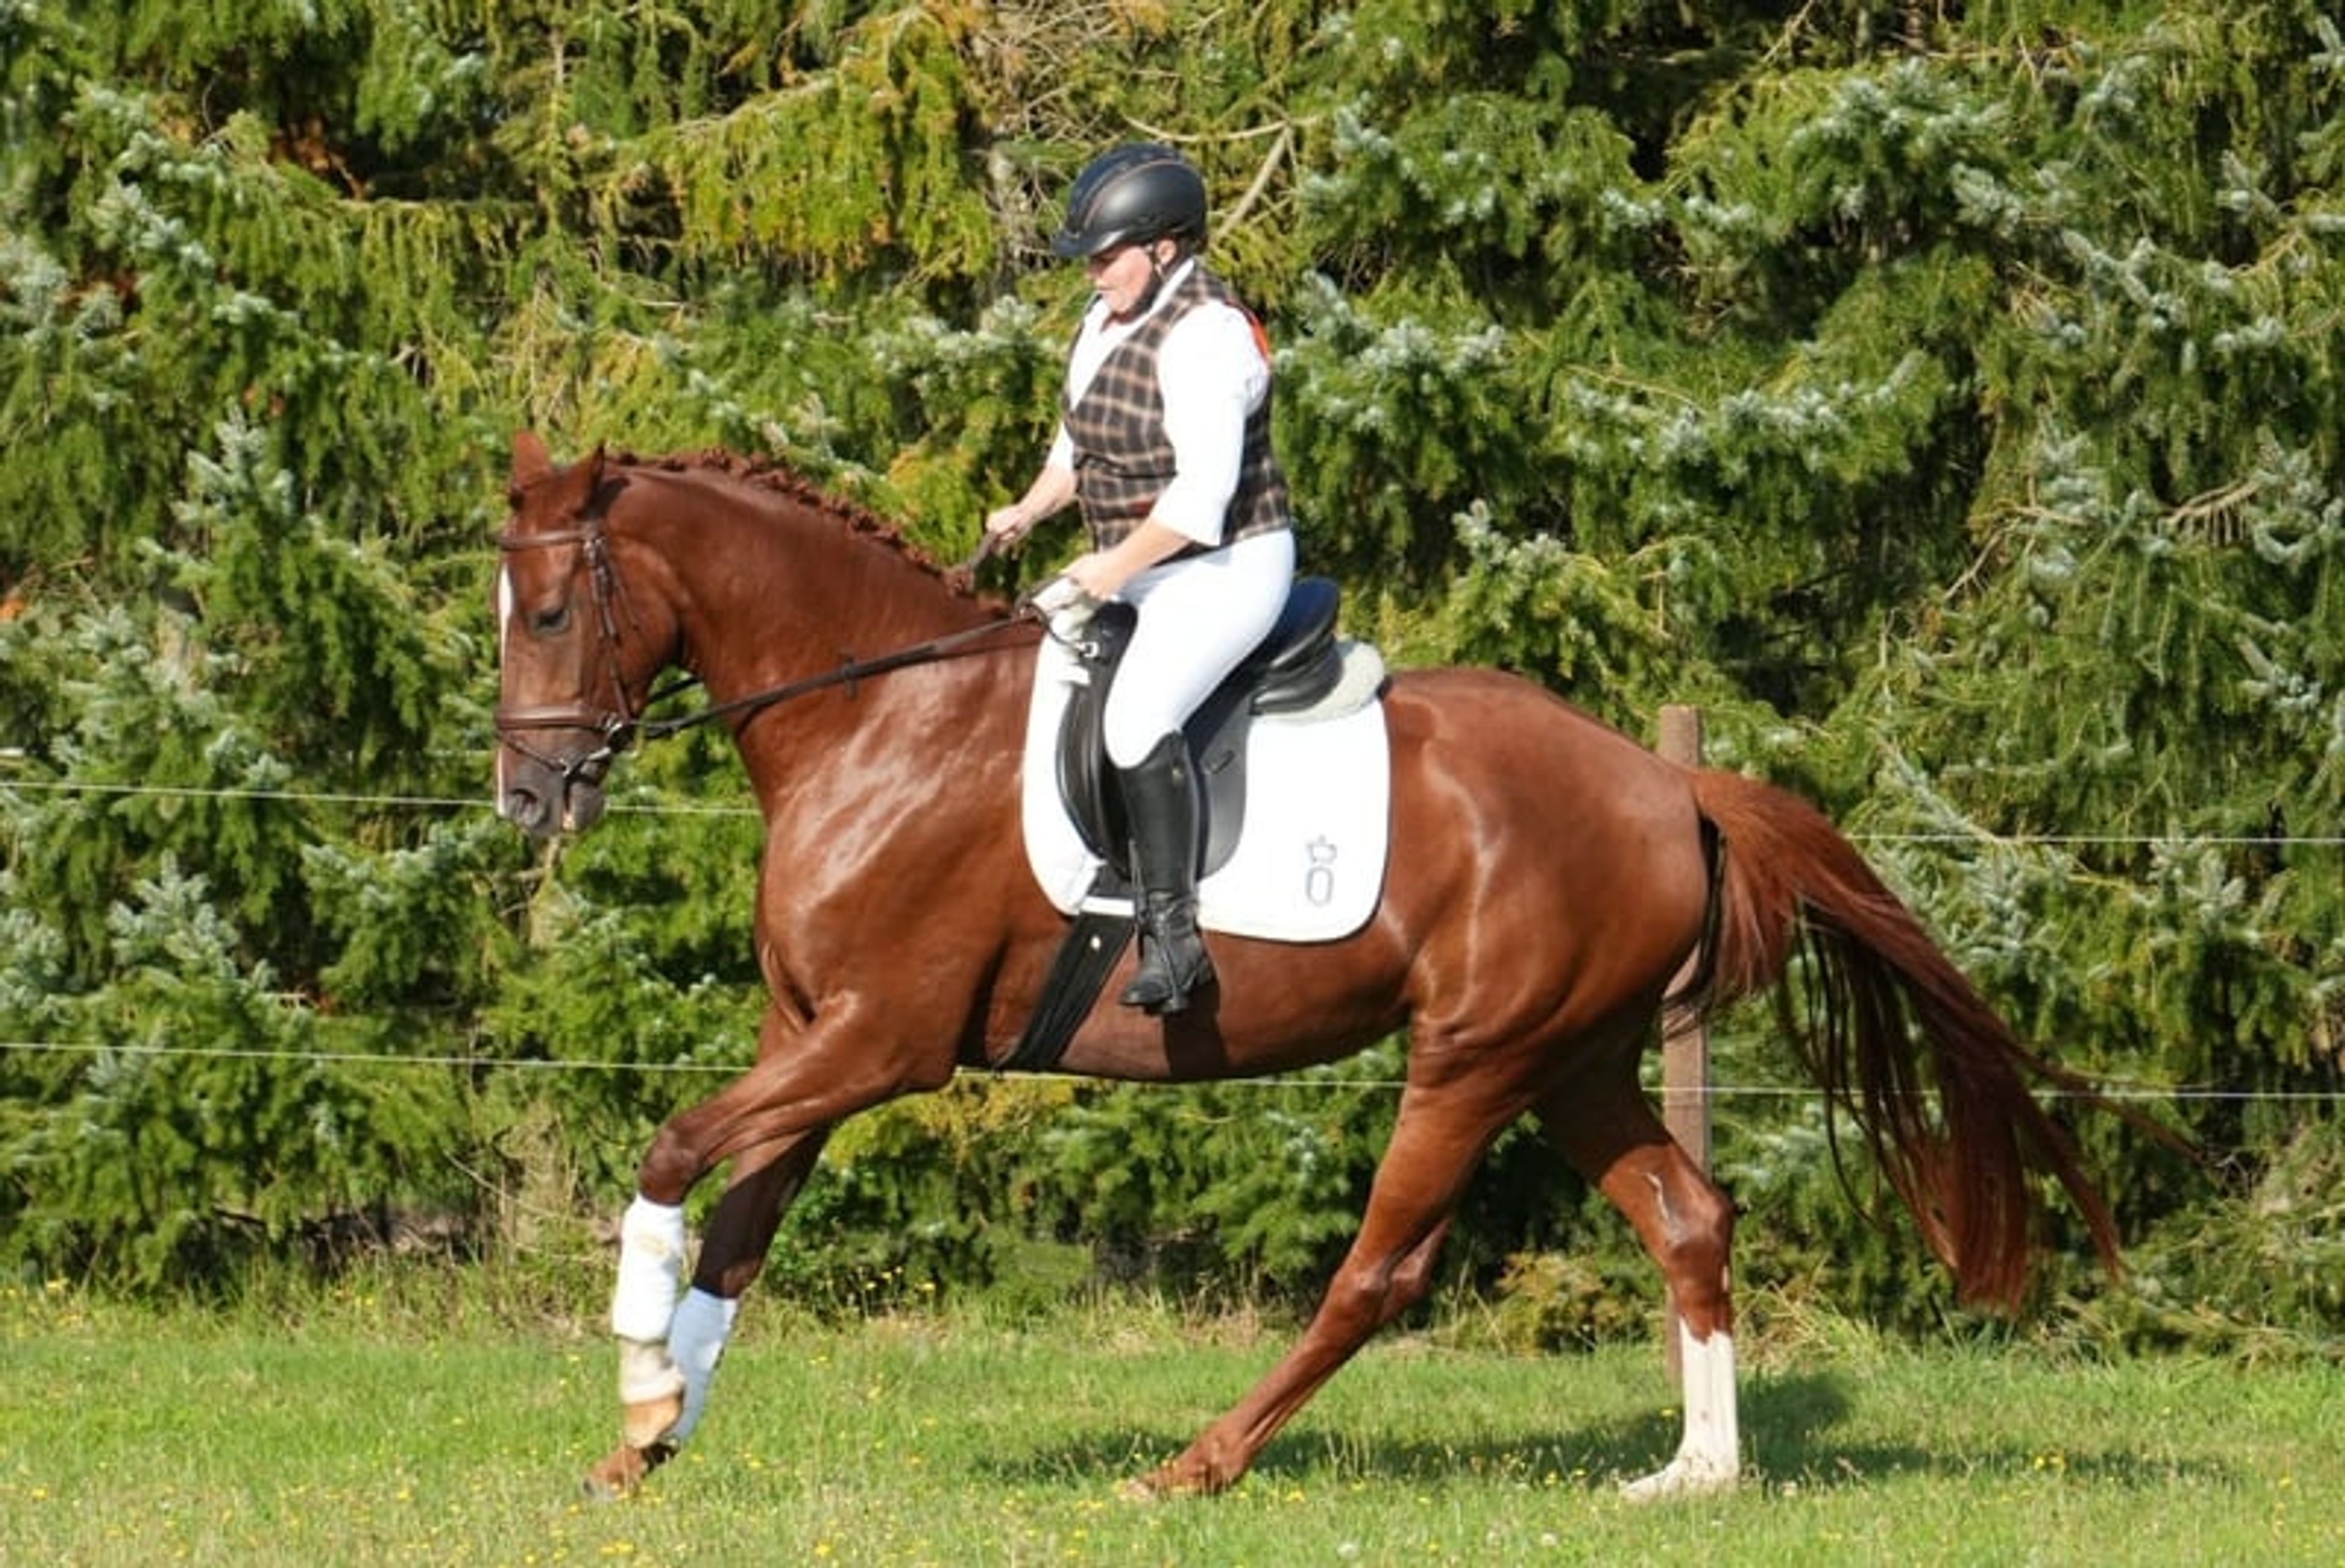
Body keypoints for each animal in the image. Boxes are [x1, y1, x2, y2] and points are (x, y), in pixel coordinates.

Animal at [491, 430, 2119, 1502]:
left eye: (555, 610)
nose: (527, 798)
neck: (875, 717)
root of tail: (1669, 787)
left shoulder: (883, 1043)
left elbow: (672, 1153)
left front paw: (635, 1377)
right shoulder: (814, 1036)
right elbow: (739, 1226)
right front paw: (649, 1433)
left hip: (1473, 1060)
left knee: (1379, 1270)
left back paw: (1194, 1466)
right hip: (1576, 1060)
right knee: (1688, 1216)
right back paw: (1693, 1476)